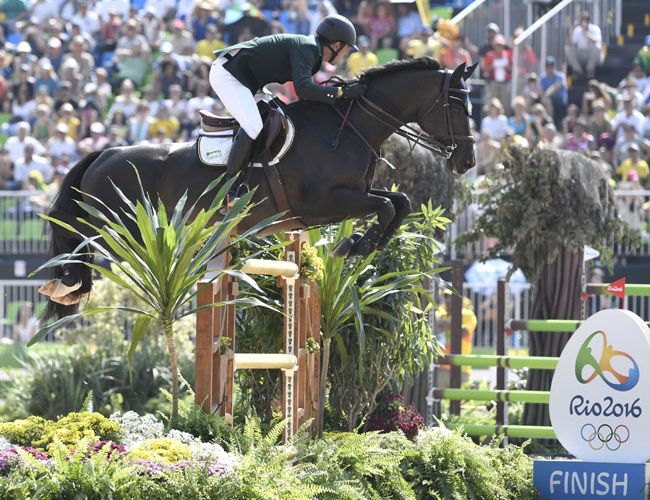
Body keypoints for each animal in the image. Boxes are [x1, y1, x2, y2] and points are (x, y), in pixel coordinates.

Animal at [41, 58, 476, 320]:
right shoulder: (323, 204)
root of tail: (106, 152)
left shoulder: (350, 197)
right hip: (119, 228)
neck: (347, 127)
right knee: (81, 244)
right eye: (457, 106)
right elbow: (388, 207)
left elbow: (398, 203)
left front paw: (362, 245)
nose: (467, 162)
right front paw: (354, 246)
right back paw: (68, 286)